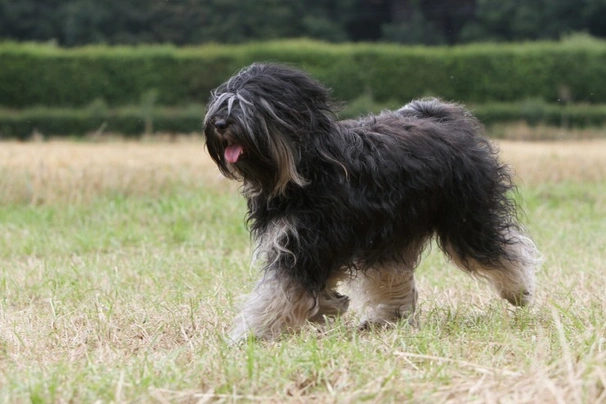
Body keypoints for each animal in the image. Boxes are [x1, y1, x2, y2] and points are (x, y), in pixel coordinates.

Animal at [204, 63, 540, 340]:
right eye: (222, 102)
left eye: (249, 106)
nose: (219, 123)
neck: (306, 168)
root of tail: (442, 116)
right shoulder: (308, 241)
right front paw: (330, 305)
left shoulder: (308, 243)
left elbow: (278, 293)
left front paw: (250, 335)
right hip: (391, 233)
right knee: (391, 274)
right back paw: (384, 318)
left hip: (464, 217)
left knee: (498, 249)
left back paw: (518, 291)